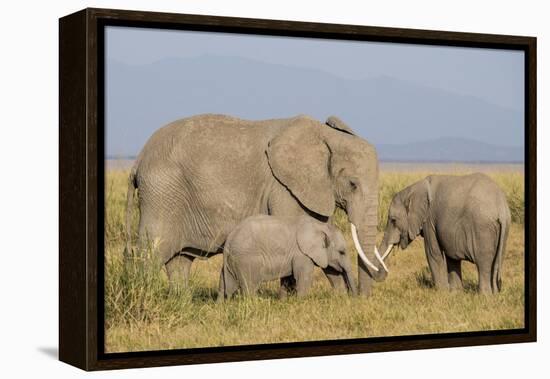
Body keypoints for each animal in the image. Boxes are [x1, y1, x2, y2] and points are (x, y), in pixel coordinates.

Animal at [219, 217, 358, 300]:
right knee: (250, 288)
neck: (319, 226)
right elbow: (303, 278)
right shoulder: (301, 255)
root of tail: (229, 241)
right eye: (342, 252)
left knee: (225, 287)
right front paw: (301, 302)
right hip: (247, 261)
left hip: (232, 262)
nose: (355, 298)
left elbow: (332, 273)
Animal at [380, 174, 512, 296]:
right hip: (503, 231)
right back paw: (494, 295)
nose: (383, 276)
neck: (414, 188)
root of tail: (501, 208)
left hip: (482, 228)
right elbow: (452, 256)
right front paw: (455, 293)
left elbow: (433, 253)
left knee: (483, 263)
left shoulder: (429, 220)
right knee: (496, 263)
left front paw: (441, 292)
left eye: (393, 220)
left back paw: (484, 296)